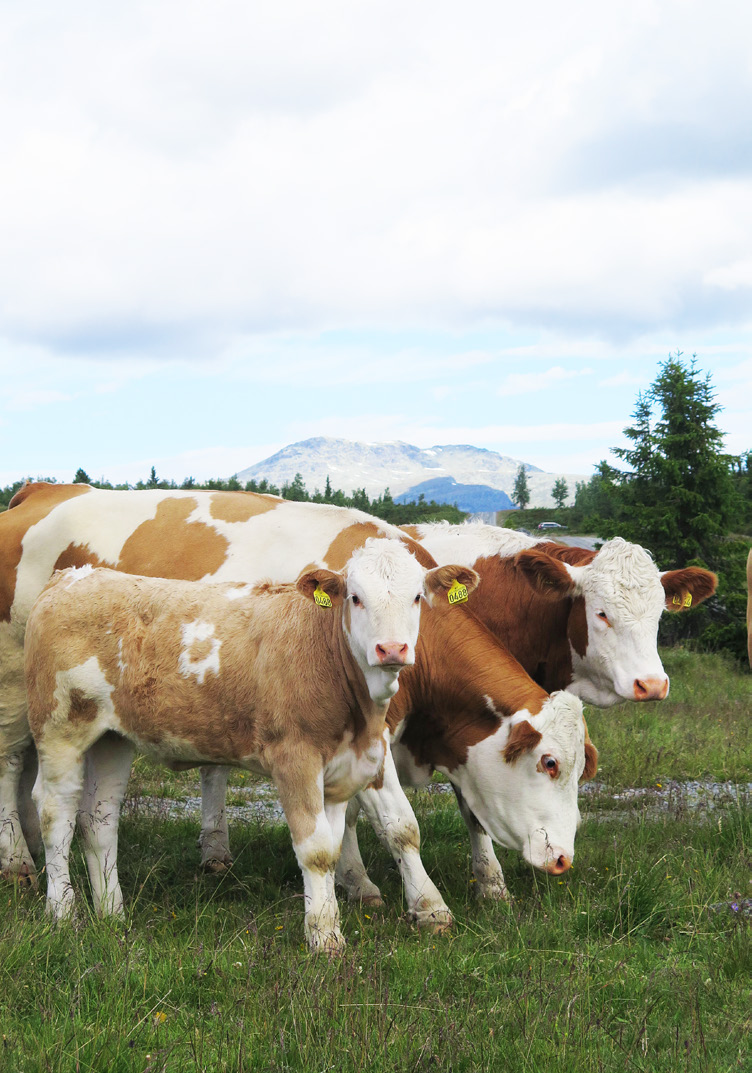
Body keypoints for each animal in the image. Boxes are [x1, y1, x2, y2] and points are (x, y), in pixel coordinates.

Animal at [24, 540, 463, 952]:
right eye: (355, 597)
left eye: (417, 597)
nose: (392, 649)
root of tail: (69, 578)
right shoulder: (295, 758)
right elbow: (316, 850)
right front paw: (324, 937)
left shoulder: (344, 768)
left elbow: (343, 845)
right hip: (59, 728)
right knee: (55, 814)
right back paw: (63, 914)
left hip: (112, 738)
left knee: (99, 819)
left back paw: (112, 913)